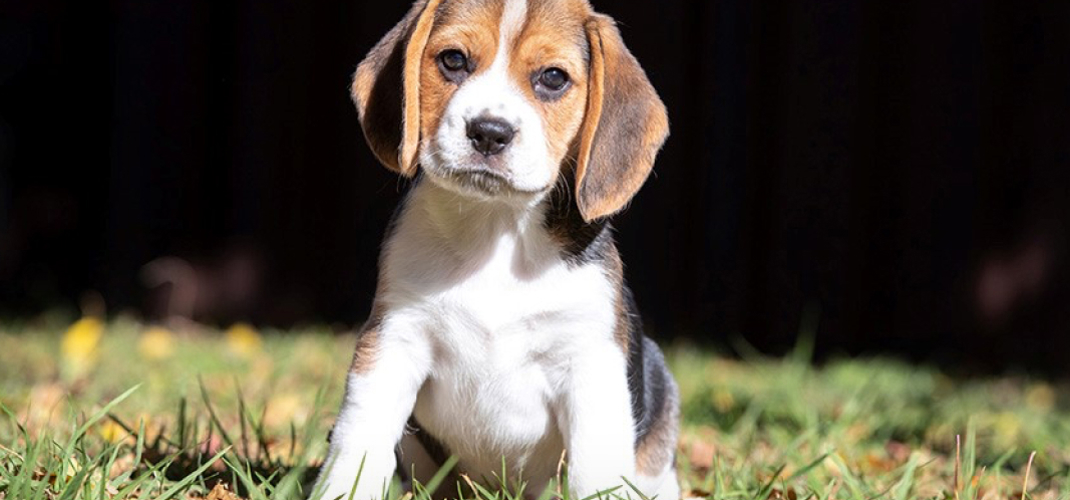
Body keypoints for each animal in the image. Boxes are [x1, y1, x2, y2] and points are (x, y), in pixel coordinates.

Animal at [316, 0, 680, 500]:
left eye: (553, 78)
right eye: (453, 60)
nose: (489, 131)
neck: (497, 230)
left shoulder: (590, 362)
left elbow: (594, 470)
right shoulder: (394, 338)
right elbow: (360, 436)